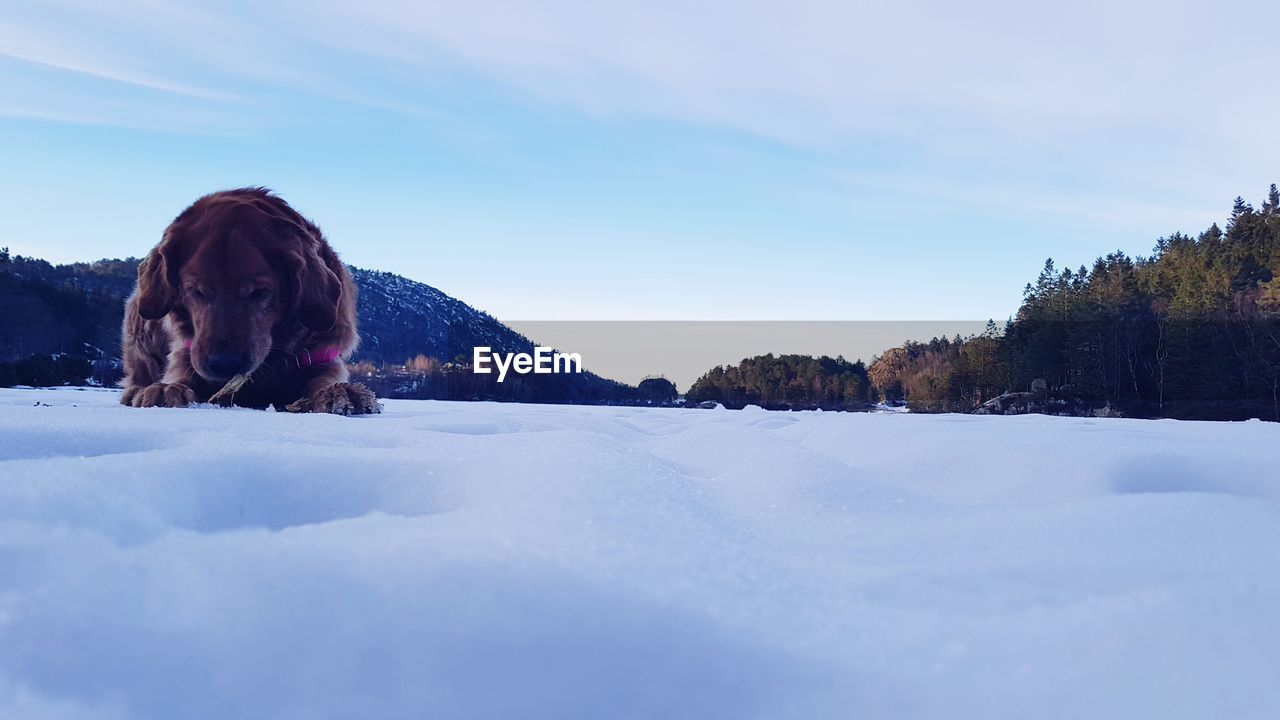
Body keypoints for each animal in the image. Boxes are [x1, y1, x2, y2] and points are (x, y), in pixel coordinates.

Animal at [118, 189, 378, 415]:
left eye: (259, 292)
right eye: (196, 291)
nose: (223, 364)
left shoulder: (323, 354)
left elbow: (323, 378)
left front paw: (339, 391)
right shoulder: (187, 353)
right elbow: (180, 374)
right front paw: (166, 388)